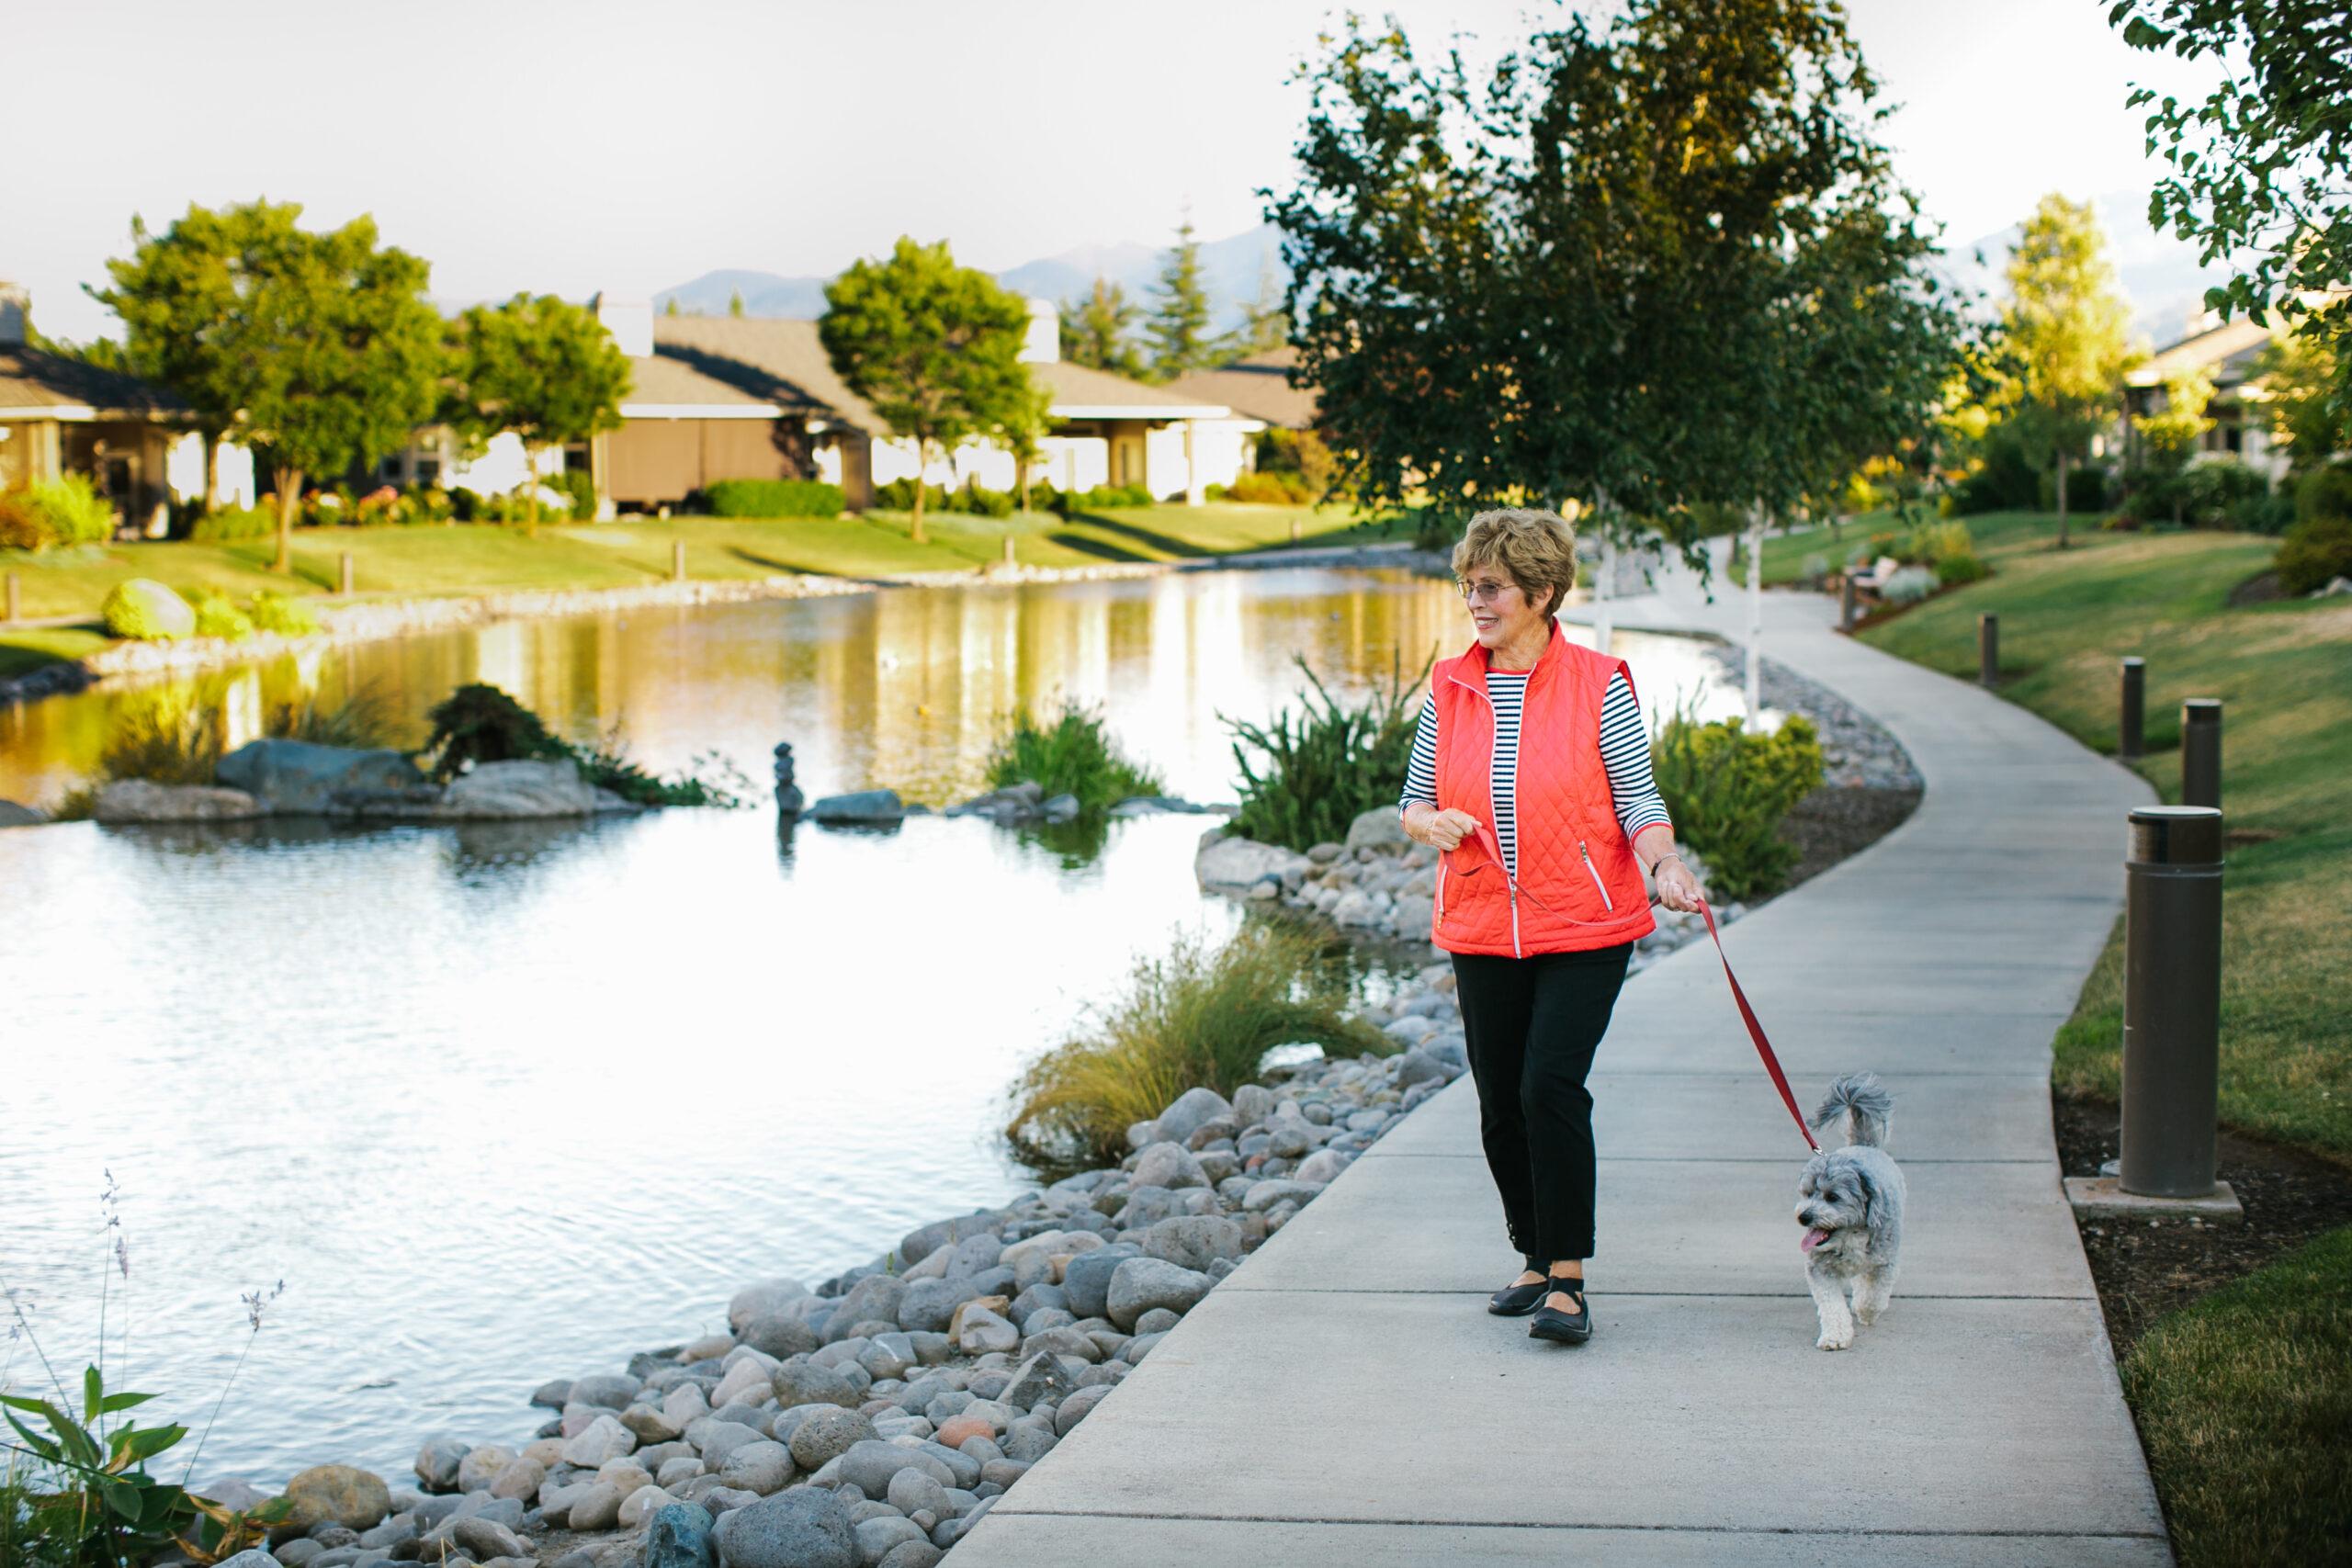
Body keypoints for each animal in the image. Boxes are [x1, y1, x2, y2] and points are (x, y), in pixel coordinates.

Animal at [1796, 1072, 1909, 1354]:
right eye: (1807, 1193)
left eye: (1832, 1197)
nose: (1804, 1217)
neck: (1849, 1235)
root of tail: (1863, 1147)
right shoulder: (1820, 1270)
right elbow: (1832, 1306)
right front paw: (1835, 1336)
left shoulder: (1884, 1263)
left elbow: (1874, 1294)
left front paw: (1865, 1311)